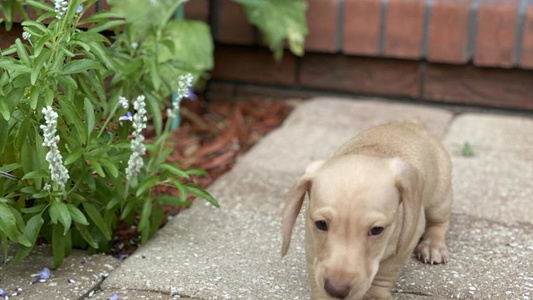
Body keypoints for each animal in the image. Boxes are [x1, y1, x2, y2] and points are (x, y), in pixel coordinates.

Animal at [280, 120, 450, 300]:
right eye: (321, 224)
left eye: (377, 230)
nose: (336, 289)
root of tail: (411, 123)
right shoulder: (312, 242)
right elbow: (315, 270)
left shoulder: (406, 242)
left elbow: (385, 272)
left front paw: (374, 294)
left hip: (440, 200)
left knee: (439, 223)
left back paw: (433, 245)